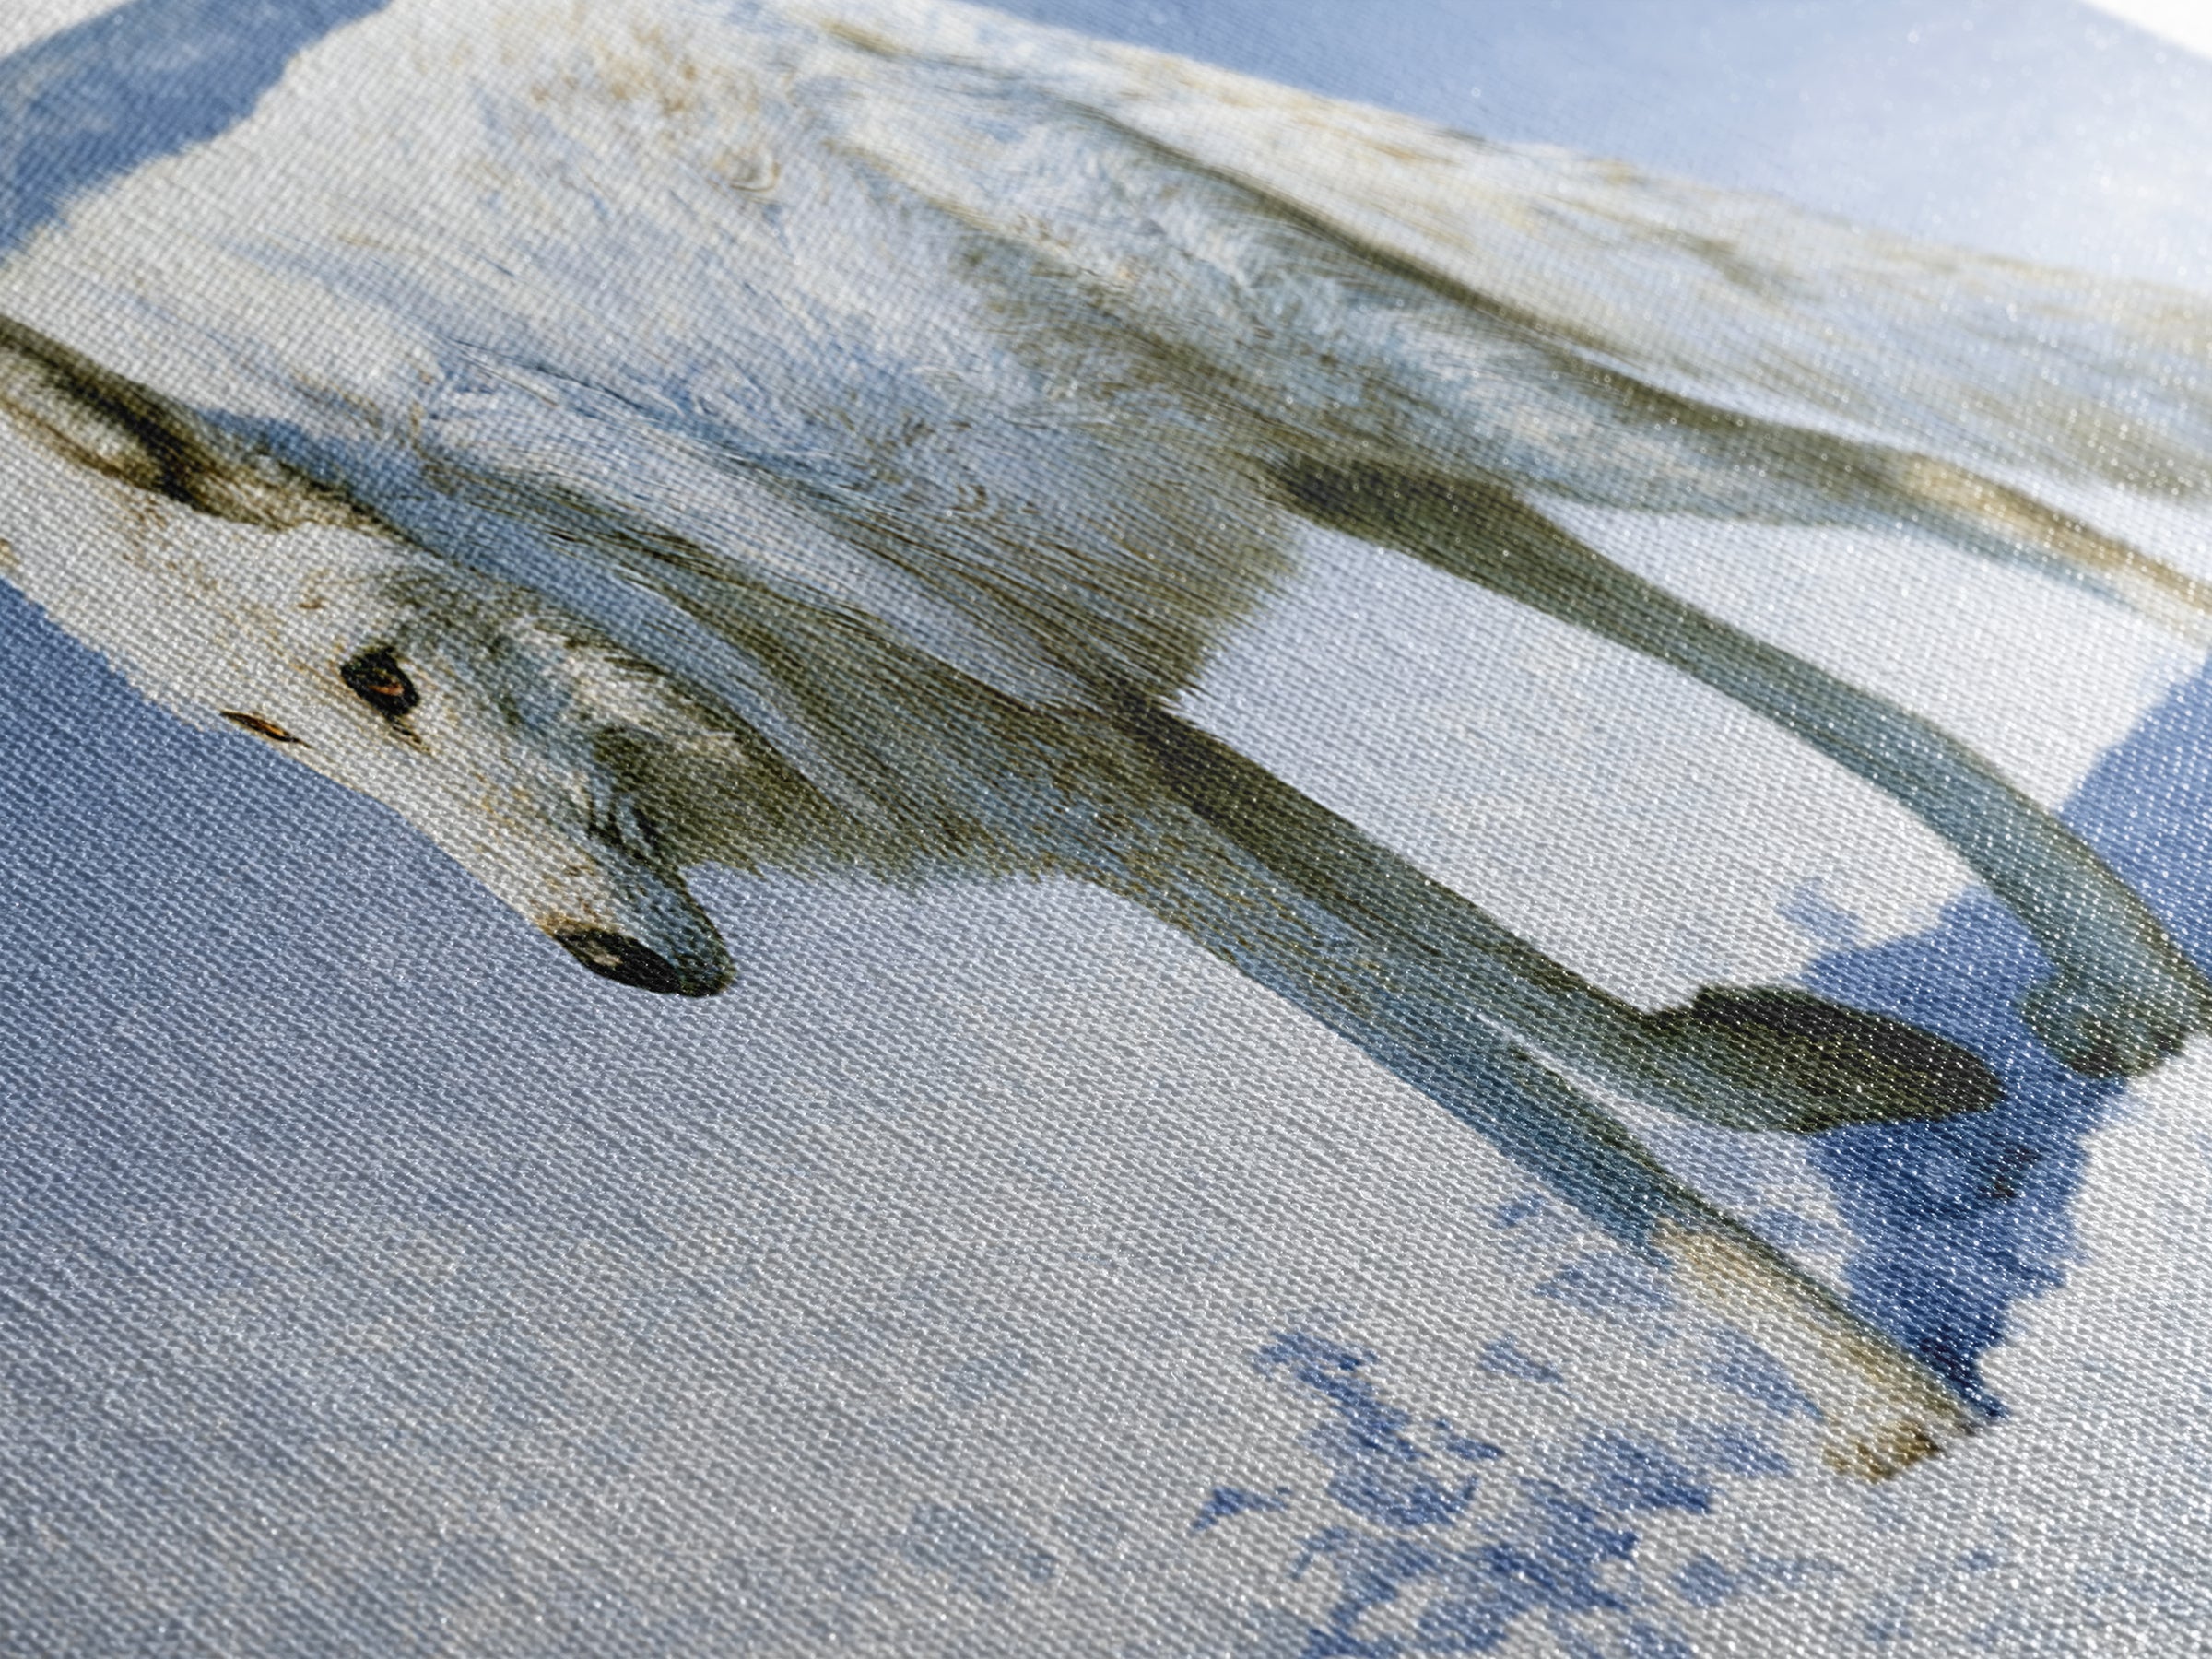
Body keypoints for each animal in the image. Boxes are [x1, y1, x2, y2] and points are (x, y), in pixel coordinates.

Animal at [3, 0, 2211, 1477]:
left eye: (383, 683)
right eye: (271, 740)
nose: (614, 969)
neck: (577, 553)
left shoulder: (1072, 776)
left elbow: (1545, 1129)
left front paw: (1908, 1430)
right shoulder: (1097, 754)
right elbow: (1558, 1023)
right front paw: (1828, 1074)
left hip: (1432, 410)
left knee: (1963, 485)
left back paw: (2128, 973)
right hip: (1383, 480)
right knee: (1858, 632)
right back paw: (2116, 989)